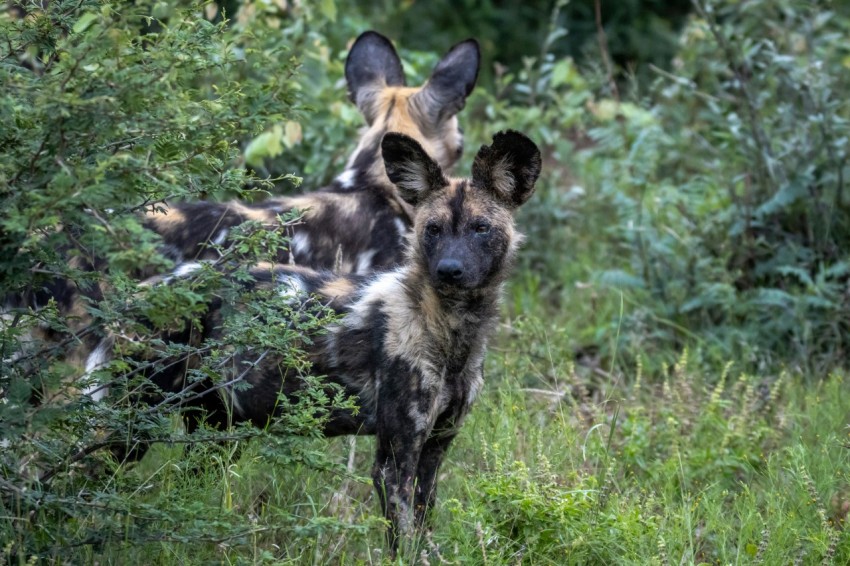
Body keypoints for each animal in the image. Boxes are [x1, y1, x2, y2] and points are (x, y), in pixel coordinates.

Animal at [93, 130, 540, 556]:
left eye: (480, 229)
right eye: (432, 230)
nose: (449, 270)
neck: (451, 330)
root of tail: (148, 289)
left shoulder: (432, 452)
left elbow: (424, 527)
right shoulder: (394, 462)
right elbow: (405, 543)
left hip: (213, 432)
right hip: (131, 427)